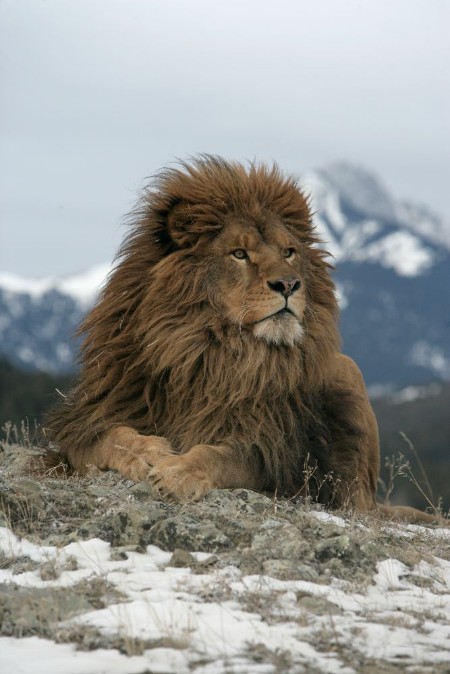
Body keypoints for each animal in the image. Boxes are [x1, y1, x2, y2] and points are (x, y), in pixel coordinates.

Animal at [44, 154, 436, 520]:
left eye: (288, 252)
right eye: (239, 254)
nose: (289, 284)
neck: (206, 352)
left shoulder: (271, 451)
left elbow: (218, 455)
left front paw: (178, 471)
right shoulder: (87, 422)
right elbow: (108, 438)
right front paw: (149, 452)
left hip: (347, 372)